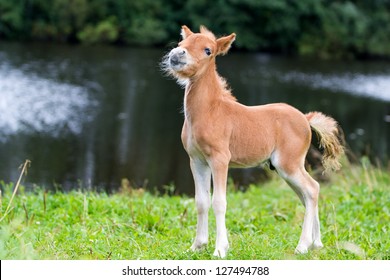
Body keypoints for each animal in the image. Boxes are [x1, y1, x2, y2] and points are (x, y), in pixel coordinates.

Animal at [161, 25, 344, 258]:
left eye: (208, 50)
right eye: (182, 43)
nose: (177, 54)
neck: (209, 111)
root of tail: (305, 118)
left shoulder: (220, 159)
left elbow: (218, 202)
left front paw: (220, 249)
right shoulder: (197, 161)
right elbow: (201, 201)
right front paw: (197, 246)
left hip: (289, 164)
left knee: (311, 190)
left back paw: (302, 246)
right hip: (286, 169)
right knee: (309, 193)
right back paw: (316, 244)